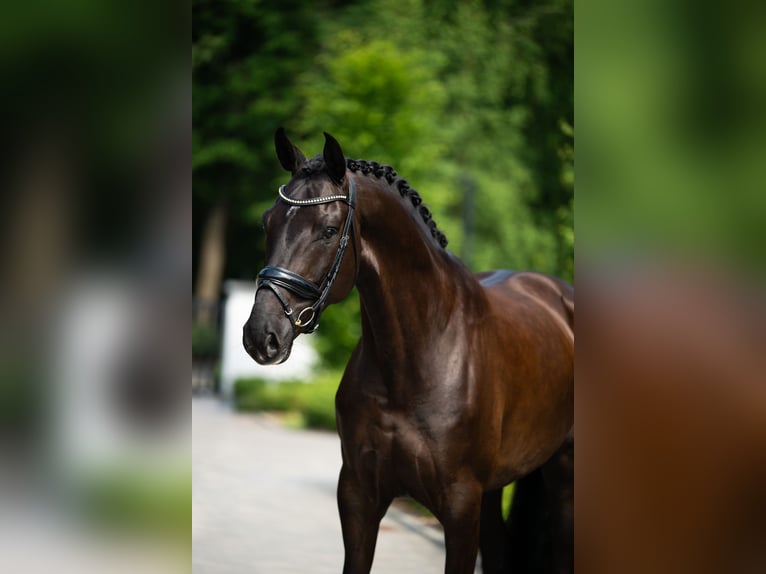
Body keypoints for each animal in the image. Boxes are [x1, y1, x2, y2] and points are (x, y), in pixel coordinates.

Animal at [243, 129, 575, 574]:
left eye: (328, 230)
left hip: (563, 476)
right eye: (268, 221)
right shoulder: (358, 496)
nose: (261, 335)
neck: (415, 359)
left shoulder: (460, 506)